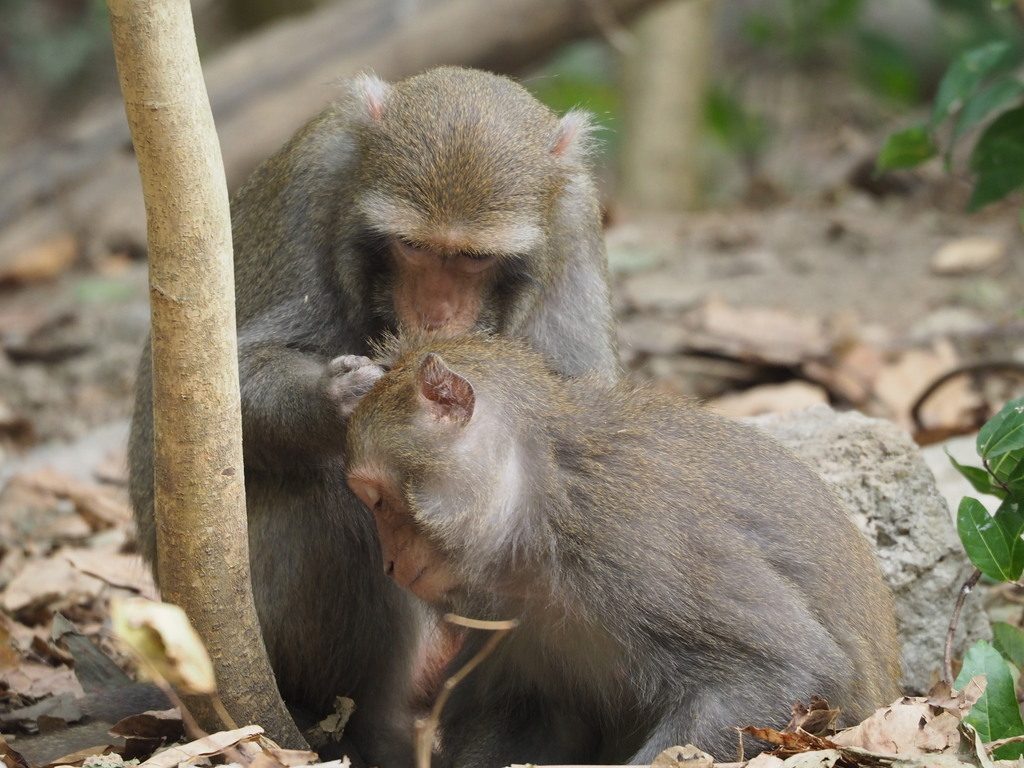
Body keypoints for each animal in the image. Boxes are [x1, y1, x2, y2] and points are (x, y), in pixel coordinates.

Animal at [127, 67, 619, 765]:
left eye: (473, 258)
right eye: (412, 246)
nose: (435, 314)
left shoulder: (573, 220)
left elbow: (583, 406)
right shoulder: (310, 189)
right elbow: (228, 385)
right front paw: (344, 399)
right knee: (327, 496)